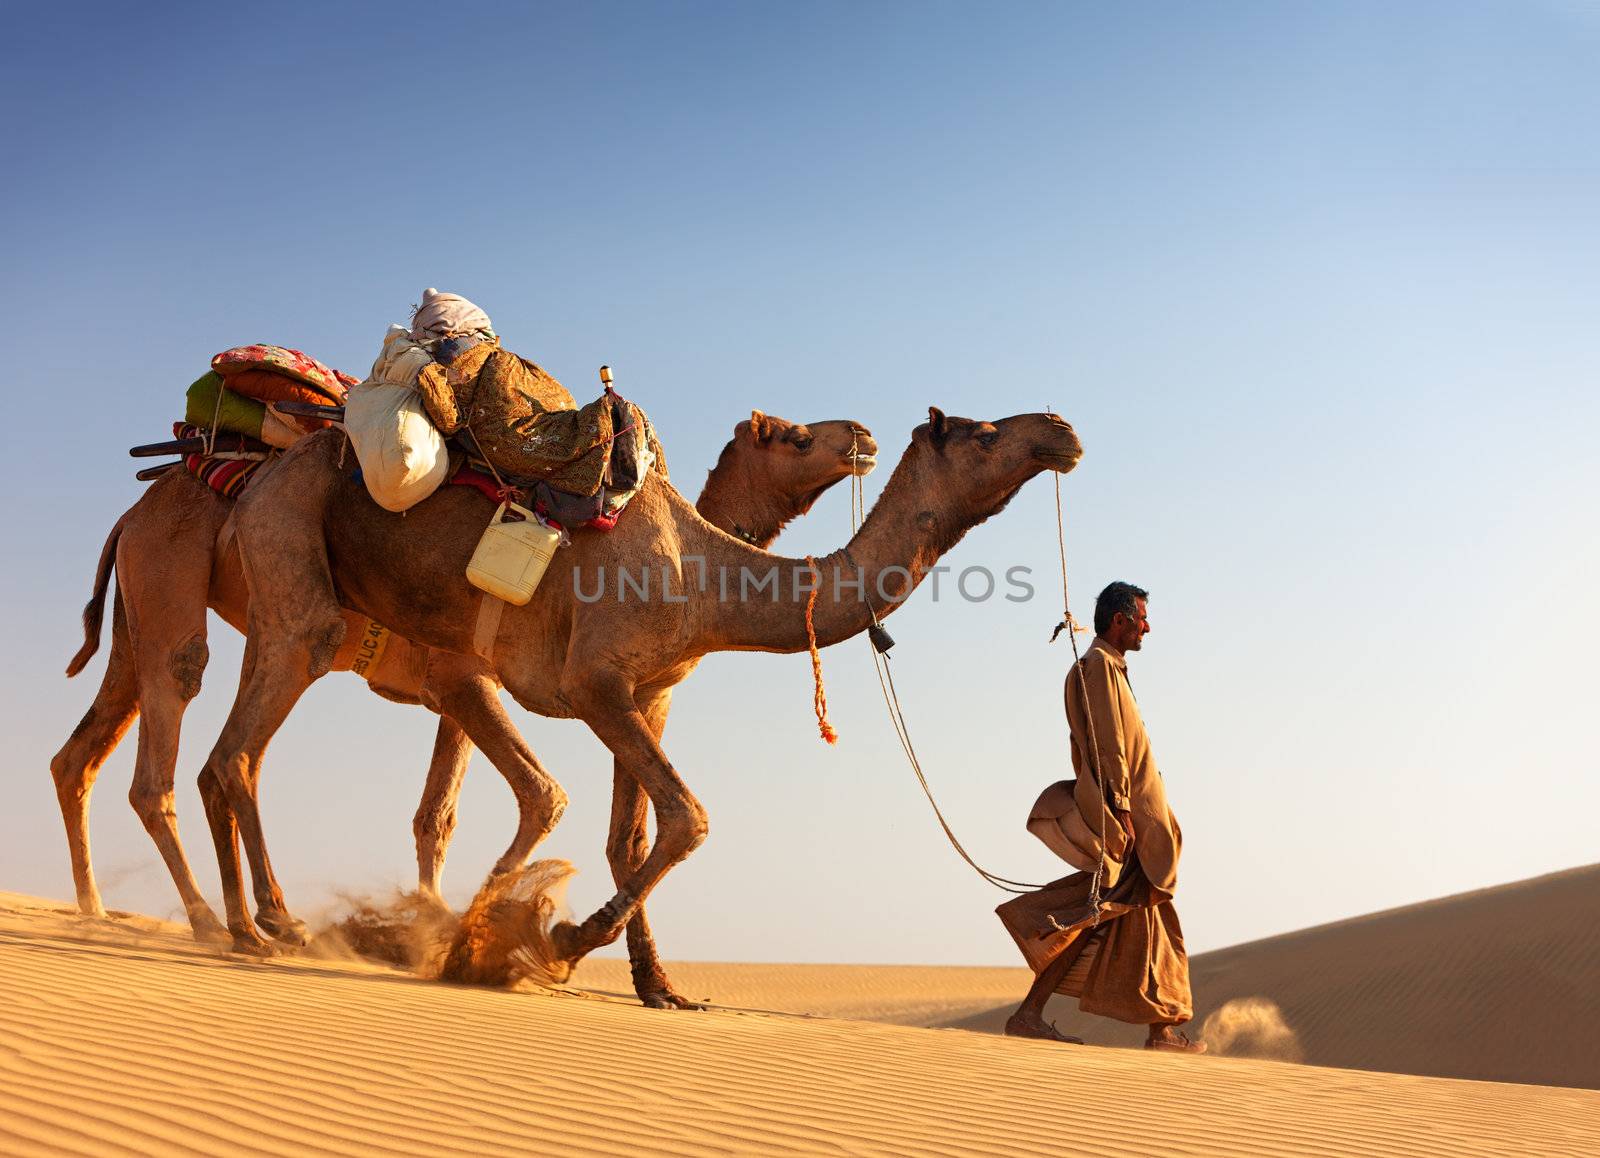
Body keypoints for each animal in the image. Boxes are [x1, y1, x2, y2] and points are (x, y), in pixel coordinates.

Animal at [53, 407, 876, 985]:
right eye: (795, 438)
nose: (862, 435)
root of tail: (131, 513)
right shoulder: (464, 678)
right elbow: (540, 795)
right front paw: (455, 930)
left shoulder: (453, 694)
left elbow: (437, 817)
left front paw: (433, 921)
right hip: (177, 583)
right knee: (173, 735)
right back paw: (213, 920)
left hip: (146, 620)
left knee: (97, 756)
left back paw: (138, 917)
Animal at [200, 407, 1081, 985]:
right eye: (984, 431)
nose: (1063, 428)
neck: (706, 580)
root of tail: (258, 471)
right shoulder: (592, 684)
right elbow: (685, 818)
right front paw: (536, 941)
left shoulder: (644, 696)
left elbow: (630, 835)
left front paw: (656, 987)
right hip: (295, 557)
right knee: (245, 744)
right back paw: (279, 922)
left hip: (279, 600)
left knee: (224, 760)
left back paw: (245, 928)